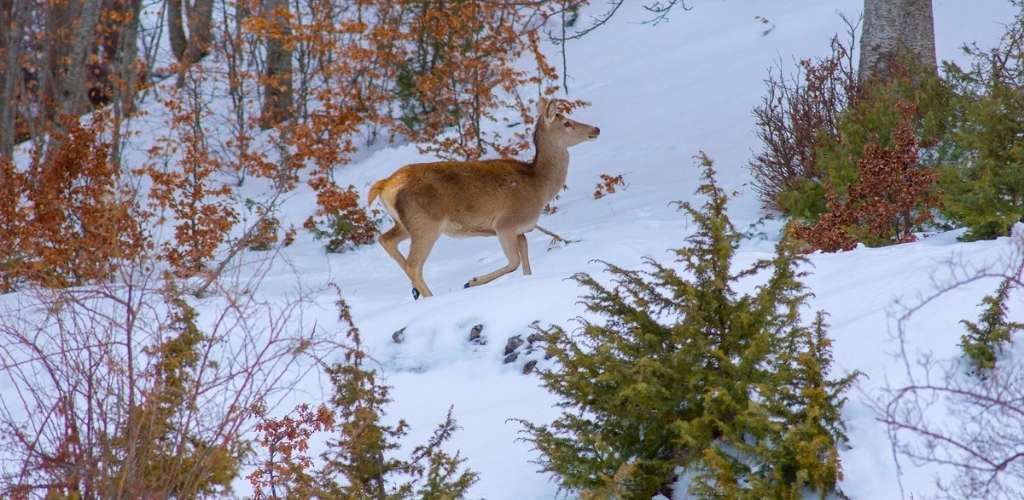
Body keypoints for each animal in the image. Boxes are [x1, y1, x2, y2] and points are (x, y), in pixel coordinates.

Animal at [366, 98, 600, 299]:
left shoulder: (520, 230)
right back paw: (431, 296)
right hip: (426, 222)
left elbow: (526, 265)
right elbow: (514, 262)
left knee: (386, 240)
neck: (540, 185)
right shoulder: (506, 223)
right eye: (567, 123)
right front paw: (472, 281)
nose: (596, 129)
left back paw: (415, 291)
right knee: (413, 264)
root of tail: (384, 185)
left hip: (405, 224)